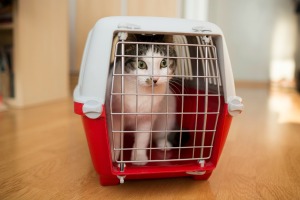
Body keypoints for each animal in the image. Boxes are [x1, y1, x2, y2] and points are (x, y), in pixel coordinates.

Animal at [110, 34, 177, 166]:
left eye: (164, 62)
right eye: (141, 64)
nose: (154, 79)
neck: (140, 93)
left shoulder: (148, 116)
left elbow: (142, 137)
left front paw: (139, 158)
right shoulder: (115, 114)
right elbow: (116, 137)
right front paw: (114, 155)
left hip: (168, 113)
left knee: (160, 133)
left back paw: (164, 144)